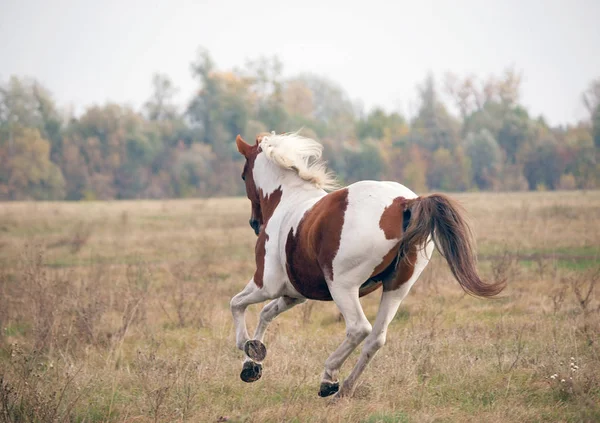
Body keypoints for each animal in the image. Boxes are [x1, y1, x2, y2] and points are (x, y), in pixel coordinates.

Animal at [231, 132, 506, 400]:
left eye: (243, 175)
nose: (254, 223)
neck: (288, 200)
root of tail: (403, 202)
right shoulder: (293, 294)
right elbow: (266, 313)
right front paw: (254, 361)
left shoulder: (265, 284)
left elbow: (237, 304)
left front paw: (248, 354)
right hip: (396, 288)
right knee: (376, 338)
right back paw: (345, 389)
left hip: (343, 287)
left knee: (358, 329)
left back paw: (329, 378)